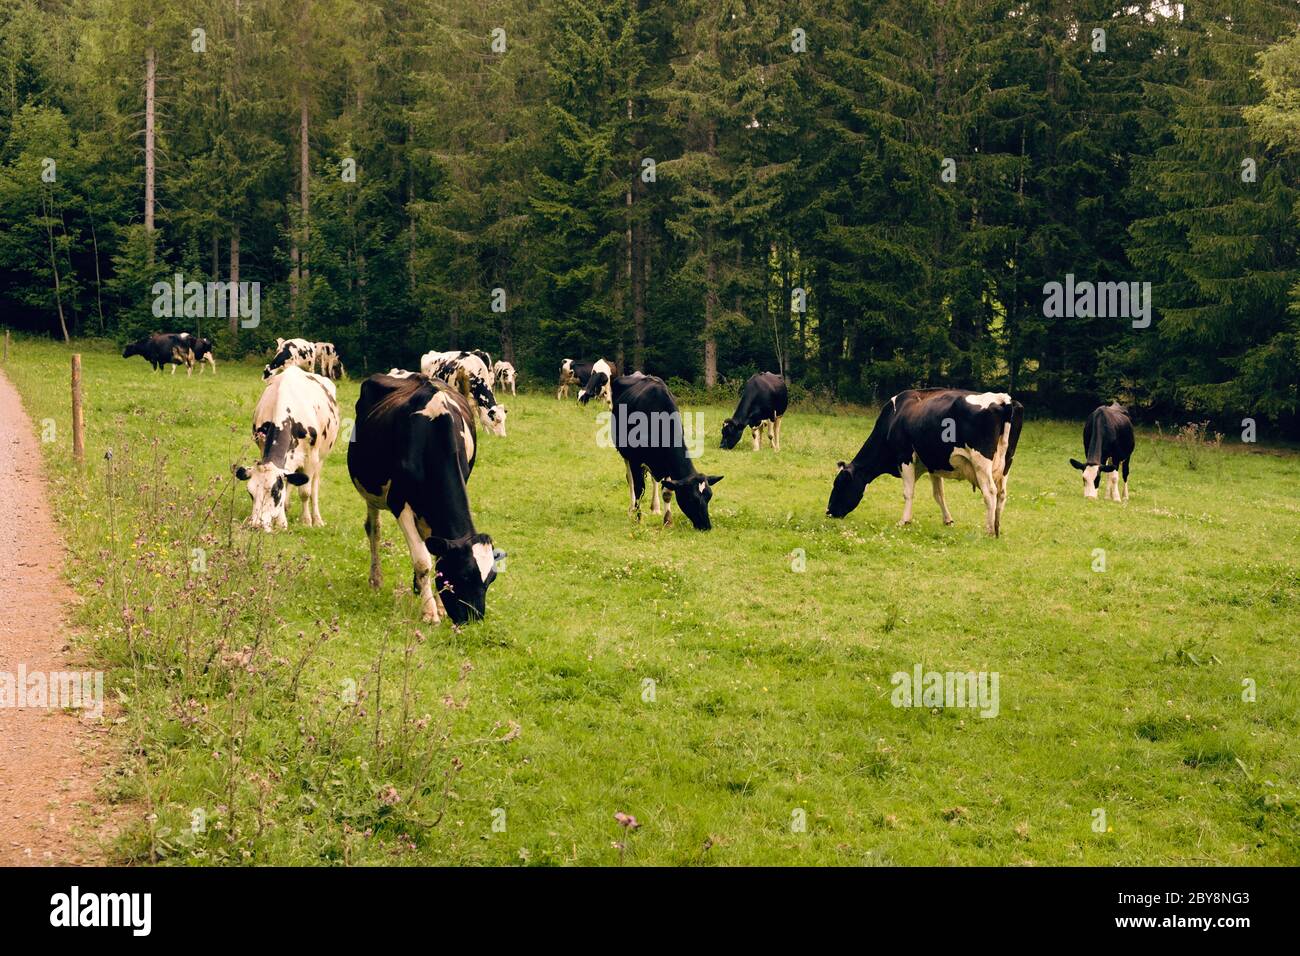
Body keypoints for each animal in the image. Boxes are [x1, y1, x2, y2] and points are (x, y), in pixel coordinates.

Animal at [235, 365, 339, 531]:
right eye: (250, 493)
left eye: (275, 492)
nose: (256, 525)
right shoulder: (263, 448)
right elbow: (287, 481)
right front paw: (282, 521)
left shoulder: (311, 458)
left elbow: (305, 492)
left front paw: (306, 521)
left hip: (321, 457)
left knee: (314, 486)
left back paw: (317, 519)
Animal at [348, 372, 504, 625]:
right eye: (463, 576)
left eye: (491, 579)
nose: (474, 619)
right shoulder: (399, 502)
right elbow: (422, 561)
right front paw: (430, 613)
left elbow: (436, 554)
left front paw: (438, 606)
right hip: (370, 489)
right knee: (373, 530)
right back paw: (376, 579)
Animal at [610, 373, 723, 531]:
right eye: (690, 498)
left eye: (709, 496)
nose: (706, 526)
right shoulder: (635, 459)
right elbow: (639, 488)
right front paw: (638, 519)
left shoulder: (667, 462)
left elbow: (667, 492)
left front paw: (668, 520)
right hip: (624, 453)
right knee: (630, 479)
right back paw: (632, 508)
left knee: (654, 480)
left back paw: (655, 507)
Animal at [826, 388, 1024, 537]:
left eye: (839, 484)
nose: (828, 512)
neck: (894, 417)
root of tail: (1003, 399)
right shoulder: (933, 463)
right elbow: (939, 494)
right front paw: (948, 520)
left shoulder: (905, 456)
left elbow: (908, 492)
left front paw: (904, 521)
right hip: (1007, 463)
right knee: (1002, 494)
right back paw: (997, 527)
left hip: (981, 462)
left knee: (990, 492)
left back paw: (989, 530)